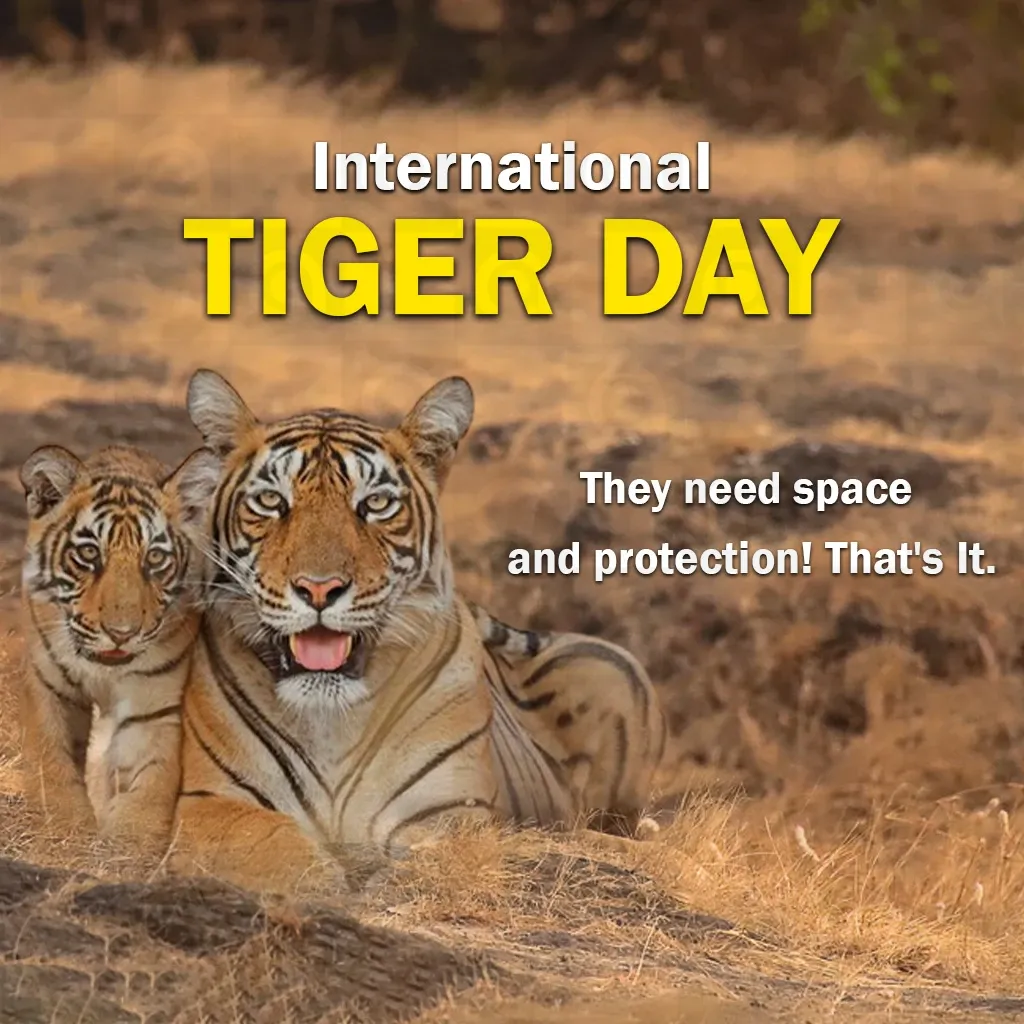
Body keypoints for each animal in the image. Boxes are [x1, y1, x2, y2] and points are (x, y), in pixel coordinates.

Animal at [18, 443, 212, 853]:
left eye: (155, 558)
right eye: (90, 554)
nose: (121, 633)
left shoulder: (154, 701)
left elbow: (150, 778)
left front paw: (129, 846)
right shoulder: (49, 686)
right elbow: (52, 758)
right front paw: (64, 831)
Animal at [167, 369, 667, 891]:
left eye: (377, 504)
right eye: (270, 501)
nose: (320, 588)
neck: (331, 719)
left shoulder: (449, 815)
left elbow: (423, 866)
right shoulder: (208, 802)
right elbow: (274, 845)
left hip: (614, 667)